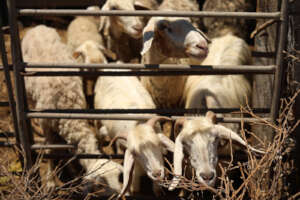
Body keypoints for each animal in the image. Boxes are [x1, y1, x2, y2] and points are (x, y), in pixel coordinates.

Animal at [21, 24, 123, 195]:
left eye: (119, 177)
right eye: (101, 183)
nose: (120, 195)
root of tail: (38, 27)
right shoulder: (47, 126)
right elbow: (50, 152)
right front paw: (50, 182)